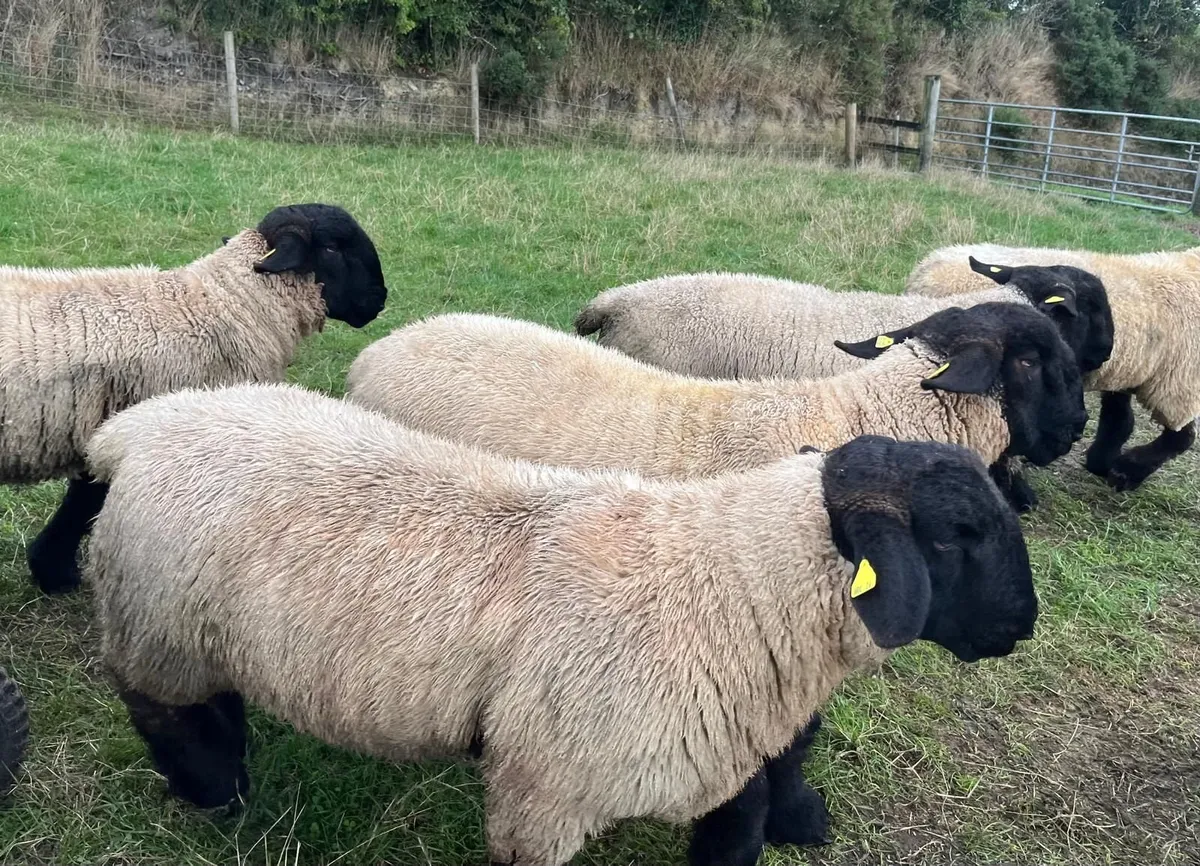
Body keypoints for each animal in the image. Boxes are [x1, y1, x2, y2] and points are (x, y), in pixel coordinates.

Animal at [83, 382, 1038, 866]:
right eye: (959, 532)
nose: (1024, 625)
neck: (727, 583)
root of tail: (135, 427)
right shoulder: (542, 796)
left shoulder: (721, 765)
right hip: (155, 626)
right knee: (160, 711)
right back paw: (218, 795)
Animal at [906, 245, 1200, 490]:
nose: (1106, 353)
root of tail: (925, 271)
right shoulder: (1178, 386)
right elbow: (1180, 437)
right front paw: (1126, 472)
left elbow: (1119, 418)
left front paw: (1103, 463)